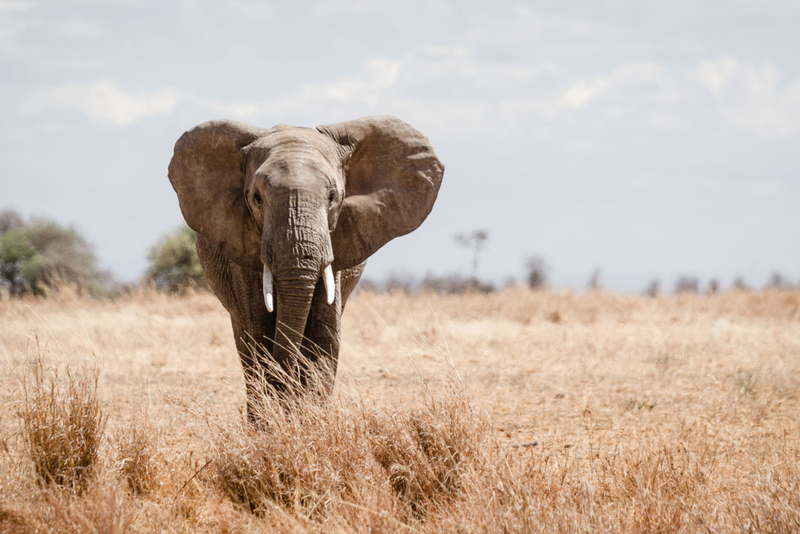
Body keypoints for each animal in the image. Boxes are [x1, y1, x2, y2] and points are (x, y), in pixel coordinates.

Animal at [168, 116, 444, 418]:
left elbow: (323, 335)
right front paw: (273, 420)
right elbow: (260, 331)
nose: (284, 387)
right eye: (257, 198)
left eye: (333, 197)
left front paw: (310, 419)